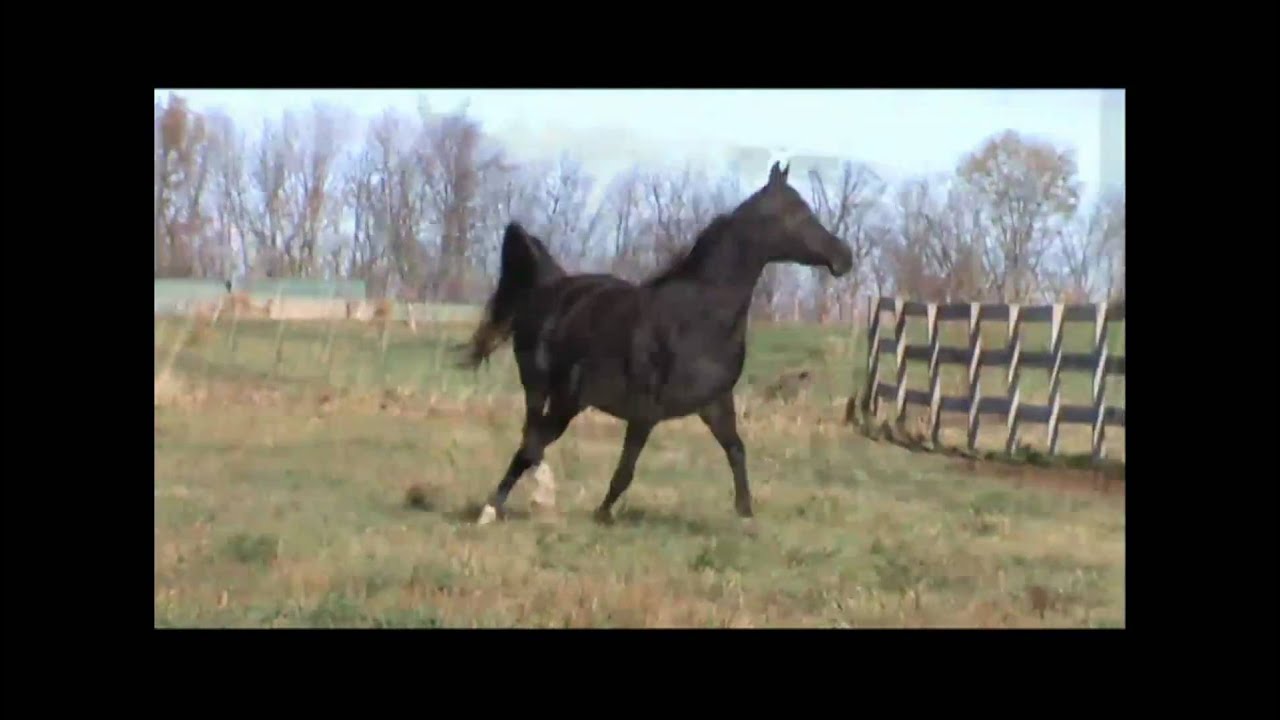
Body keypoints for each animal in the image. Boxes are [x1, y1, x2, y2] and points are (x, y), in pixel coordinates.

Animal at [460, 161, 853, 526]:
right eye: (798, 212)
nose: (844, 257)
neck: (698, 317)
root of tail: (549, 285)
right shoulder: (645, 410)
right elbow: (625, 468)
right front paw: (601, 514)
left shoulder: (715, 403)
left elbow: (736, 451)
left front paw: (746, 515)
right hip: (548, 390)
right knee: (531, 442)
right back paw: (502, 507)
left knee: (533, 440)